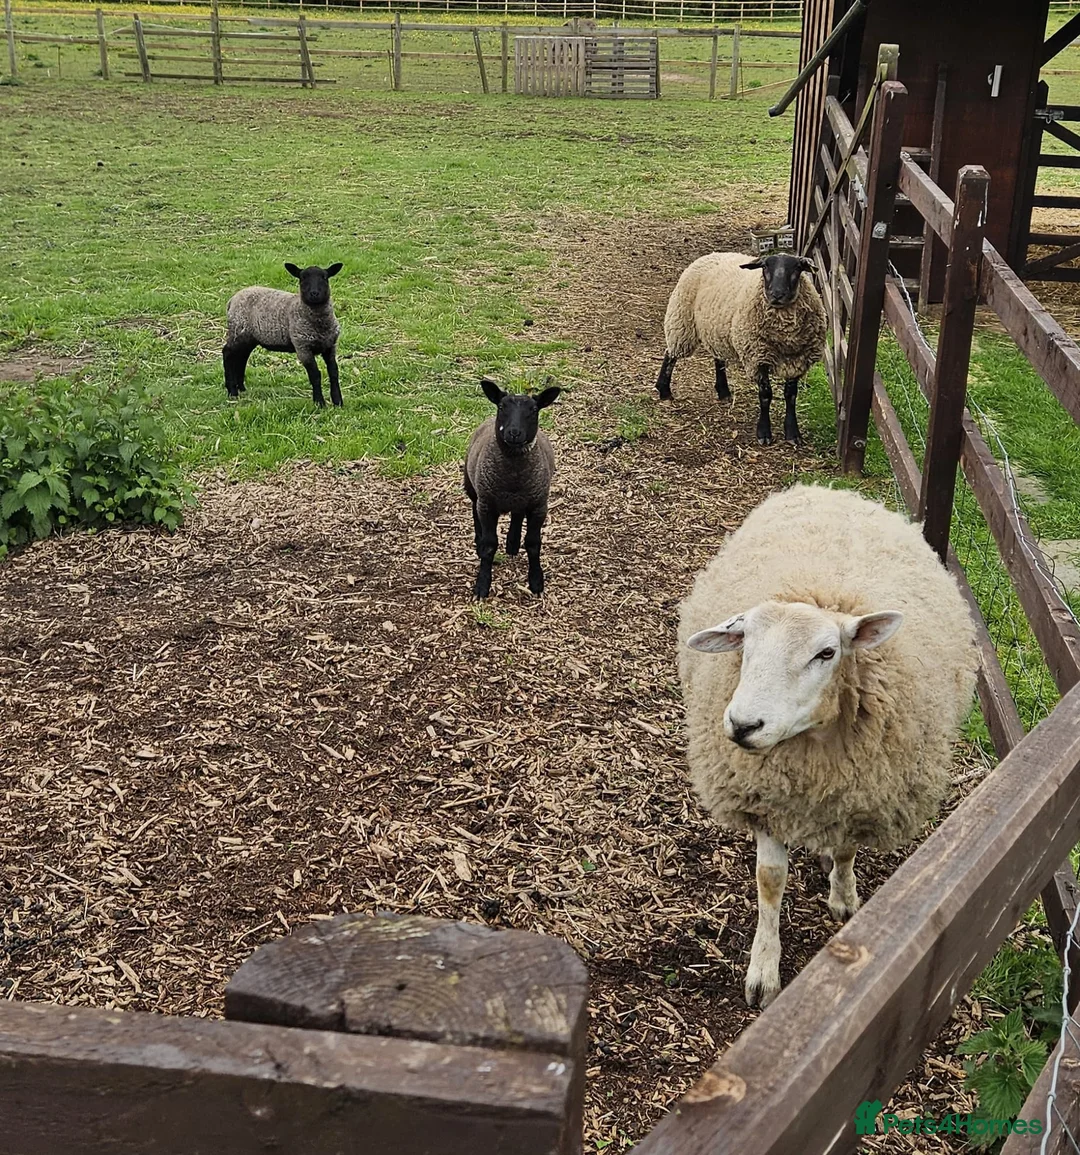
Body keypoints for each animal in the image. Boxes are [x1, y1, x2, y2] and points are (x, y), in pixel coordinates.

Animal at [223, 262, 343, 408]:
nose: (314, 293)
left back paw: (241, 388)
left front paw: (338, 401)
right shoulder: (302, 347)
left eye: (324, 277)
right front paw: (319, 402)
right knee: (228, 353)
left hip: (248, 336)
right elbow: (315, 375)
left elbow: (334, 372)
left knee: (242, 356)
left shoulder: (330, 346)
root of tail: (232, 300)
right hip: (238, 330)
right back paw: (232, 391)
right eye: (302, 278)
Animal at [463, 377, 561, 600]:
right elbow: (489, 545)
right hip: (472, 486)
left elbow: (533, 544)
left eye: (534, 409)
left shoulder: (539, 505)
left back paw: (513, 544)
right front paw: (482, 585)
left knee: (517, 515)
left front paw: (536, 581)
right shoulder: (487, 504)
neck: (513, 477)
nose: (514, 433)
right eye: (502, 406)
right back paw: (479, 540)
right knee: (474, 509)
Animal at [655, 251, 826, 446]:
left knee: (718, 359)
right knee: (670, 354)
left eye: (797, 268)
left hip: (716, 328)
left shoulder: (798, 360)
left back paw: (723, 391)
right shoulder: (758, 358)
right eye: (765, 266)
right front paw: (764, 433)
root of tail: (712, 254)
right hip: (681, 320)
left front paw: (793, 433)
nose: (776, 295)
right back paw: (664, 390)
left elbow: (791, 396)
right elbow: (766, 395)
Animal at [677, 484, 977, 1007]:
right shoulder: (765, 799)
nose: (742, 725)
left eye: (826, 652)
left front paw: (844, 897)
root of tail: (834, 490)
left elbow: (847, 851)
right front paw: (763, 970)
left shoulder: (862, 796)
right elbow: (770, 880)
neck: (813, 757)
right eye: (744, 643)